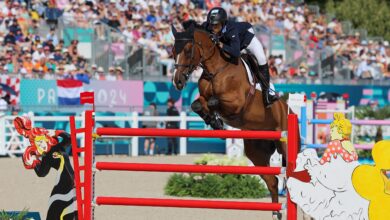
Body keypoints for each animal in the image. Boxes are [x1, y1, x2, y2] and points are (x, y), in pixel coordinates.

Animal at [170, 21, 298, 219]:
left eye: (188, 50)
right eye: (172, 51)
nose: (178, 82)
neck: (216, 69)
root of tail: (288, 109)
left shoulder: (237, 103)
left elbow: (214, 101)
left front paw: (216, 121)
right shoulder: (203, 98)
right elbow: (197, 105)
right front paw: (215, 122)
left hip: (283, 142)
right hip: (256, 152)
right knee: (272, 181)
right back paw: (276, 213)